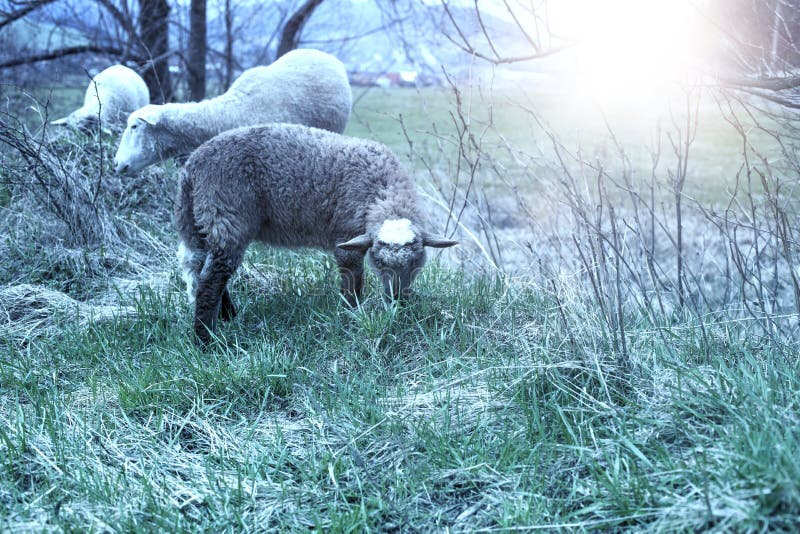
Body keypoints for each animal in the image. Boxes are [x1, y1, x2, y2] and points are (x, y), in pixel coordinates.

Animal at [178, 123, 460, 346]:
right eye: (379, 263)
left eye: (416, 262)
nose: (398, 299)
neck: (382, 190)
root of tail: (191, 167)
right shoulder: (346, 237)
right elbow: (352, 280)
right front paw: (351, 313)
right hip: (226, 216)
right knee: (210, 280)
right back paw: (206, 341)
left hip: (203, 224)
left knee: (207, 271)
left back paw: (227, 316)